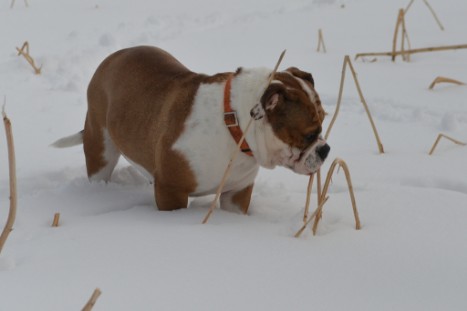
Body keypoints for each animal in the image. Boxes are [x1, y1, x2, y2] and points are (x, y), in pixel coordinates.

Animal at [53, 46, 330, 214]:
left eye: (324, 122)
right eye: (309, 134)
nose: (325, 149)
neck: (234, 126)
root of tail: (112, 57)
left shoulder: (237, 192)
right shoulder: (171, 191)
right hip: (100, 146)